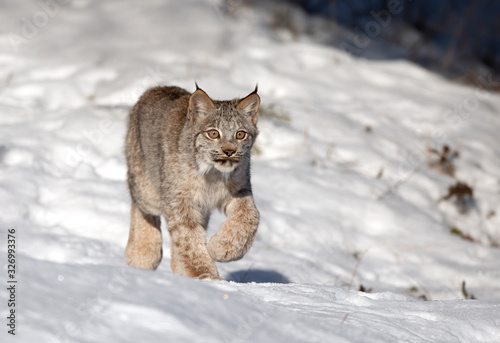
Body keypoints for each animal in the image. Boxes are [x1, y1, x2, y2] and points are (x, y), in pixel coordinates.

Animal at [124, 84, 260, 280]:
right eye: (213, 133)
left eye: (240, 134)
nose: (229, 151)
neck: (213, 174)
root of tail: (158, 88)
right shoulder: (178, 201)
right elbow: (188, 240)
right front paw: (207, 276)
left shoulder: (240, 190)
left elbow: (250, 216)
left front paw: (223, 249)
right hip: (149, 193)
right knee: (139, 204)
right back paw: (141, 254)